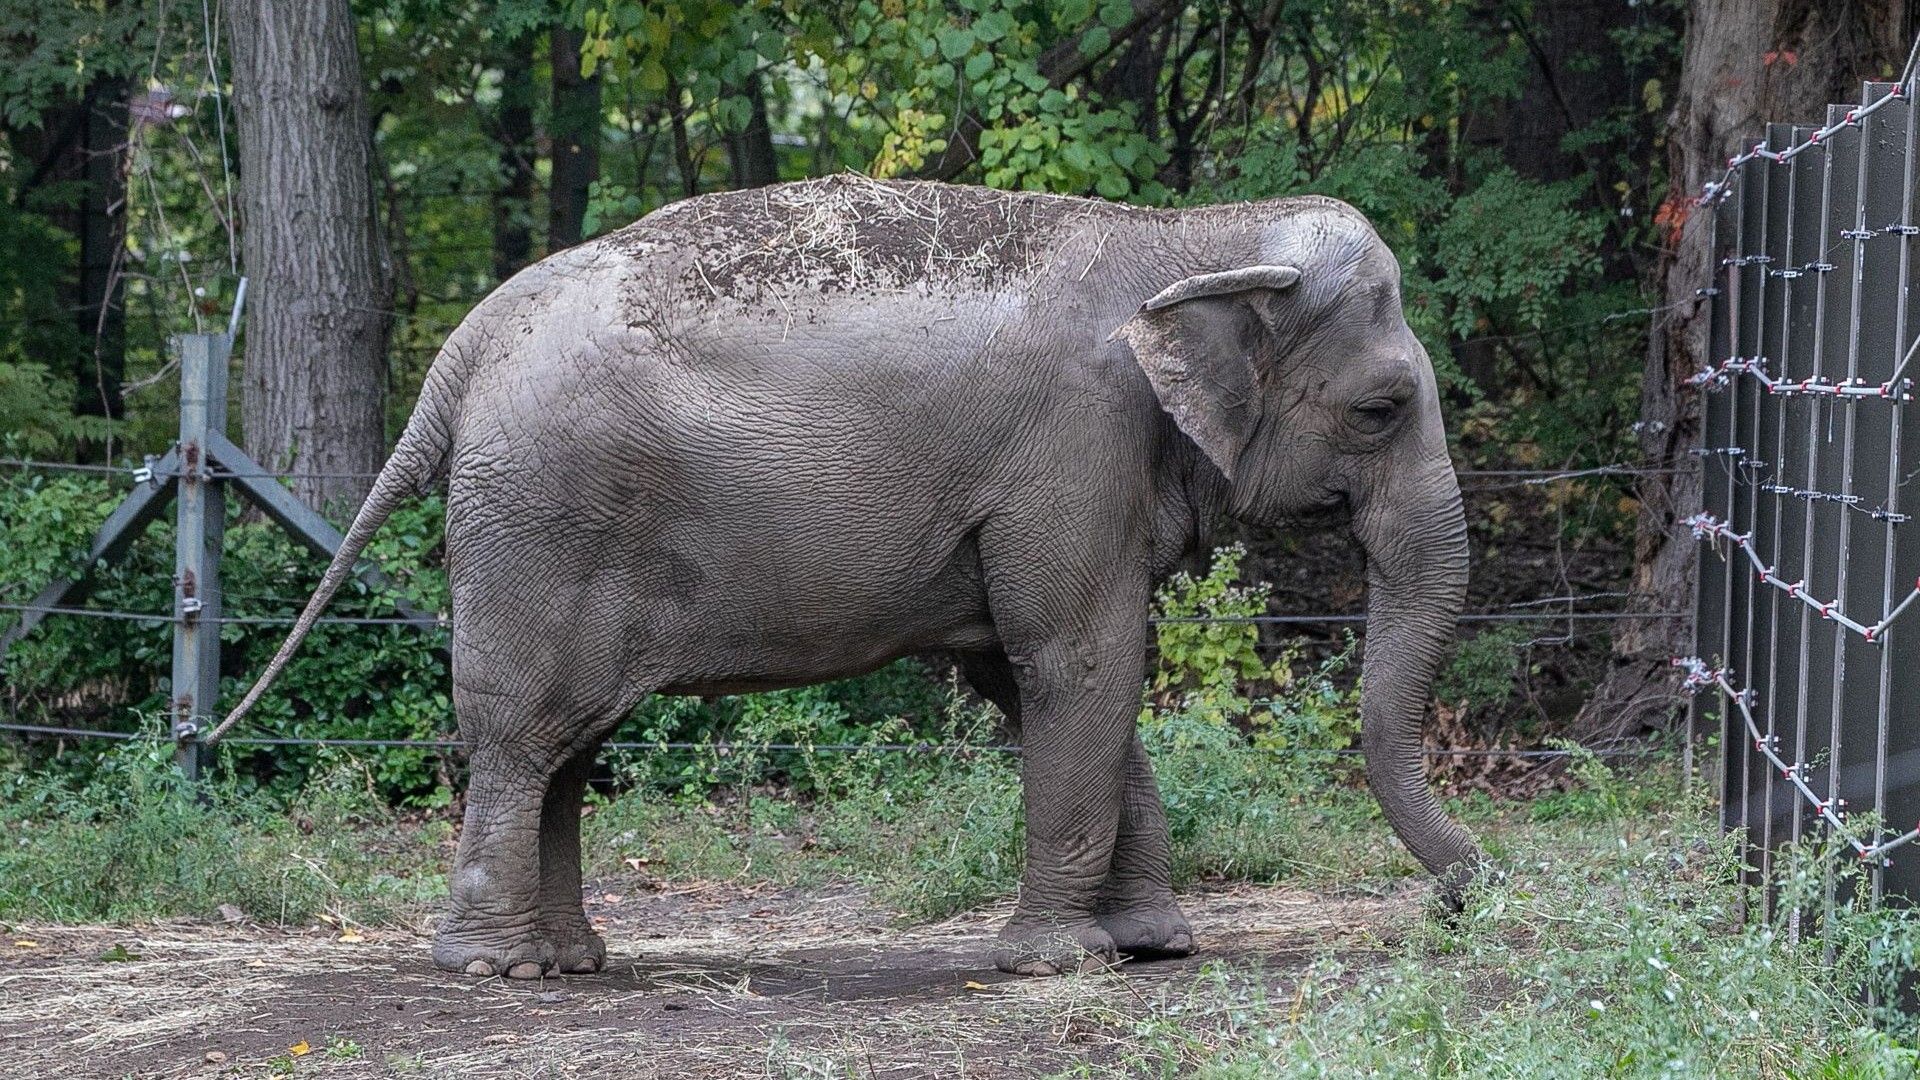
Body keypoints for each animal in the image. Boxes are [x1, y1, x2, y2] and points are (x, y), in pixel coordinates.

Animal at [222, 174, 1482, 980]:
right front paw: (1060, 963)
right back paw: (493, 973)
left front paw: (1154, 946)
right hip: (540, 520)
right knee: (523, 734)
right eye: (1381, 409)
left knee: (568, 747)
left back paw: (570, 961)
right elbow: (1080, 660)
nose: (1466, 897)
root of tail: (467, 345)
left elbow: (1050, 675)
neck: (1189, 238)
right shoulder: (1072, 451)